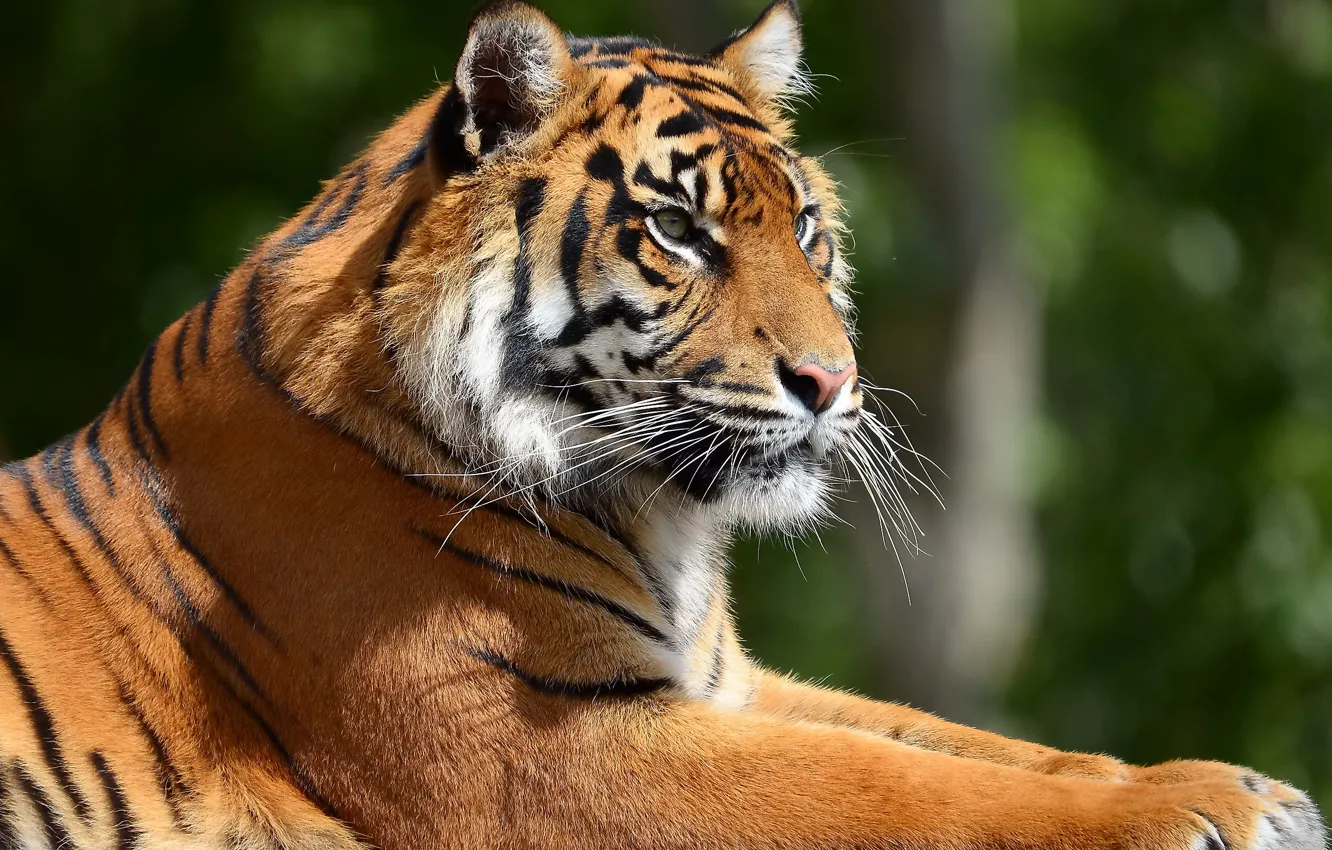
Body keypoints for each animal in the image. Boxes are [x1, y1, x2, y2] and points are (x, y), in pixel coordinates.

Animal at [0, 1, 1324, 848]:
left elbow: (951, 741)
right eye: (680, 231)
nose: (832, 380)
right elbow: (898, 789)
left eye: (808, 228)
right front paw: (1200, 809)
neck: (656, 517)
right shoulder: (549, 747)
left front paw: (1240, 783)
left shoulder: (725, 686)